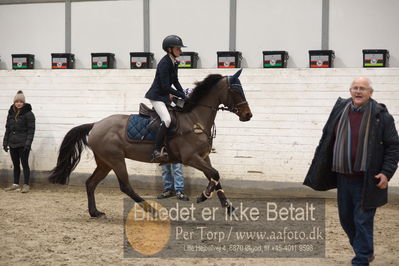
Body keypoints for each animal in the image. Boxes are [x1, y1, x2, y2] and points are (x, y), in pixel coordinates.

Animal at [47, 67, 253, 217]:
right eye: (236, 90)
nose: (248, 115)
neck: (195, 119)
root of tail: (96, 124)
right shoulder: (190, 158)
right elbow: (215, 174)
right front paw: (203, 197)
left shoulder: (203, 157)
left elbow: (214, 177)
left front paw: (228, 207)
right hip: (115, 159)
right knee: (125, 186)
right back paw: (151, 210)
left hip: (104, 162)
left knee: (90, 183)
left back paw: (95, 212)